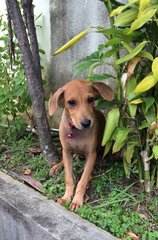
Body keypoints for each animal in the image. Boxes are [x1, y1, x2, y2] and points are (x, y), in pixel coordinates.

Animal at [48, 79, 113, 211]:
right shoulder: (67, 151)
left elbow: (82, 180)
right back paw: (56, 167)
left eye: (91, 99)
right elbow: (69, 178)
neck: (75, 130)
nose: (86, 123)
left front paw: (77, 200)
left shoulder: (91, 155)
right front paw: (66, 197)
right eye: (71, 102)